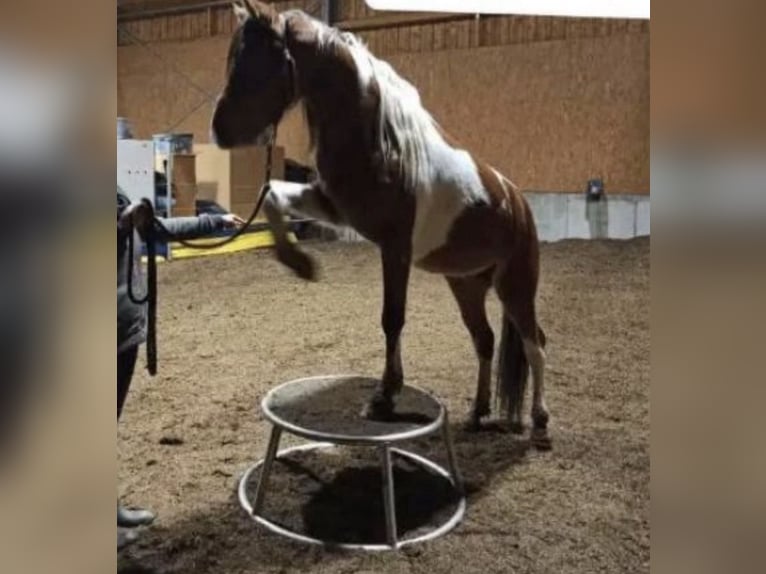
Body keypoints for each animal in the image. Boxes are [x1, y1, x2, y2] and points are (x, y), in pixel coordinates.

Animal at [212, 1, 550, 448]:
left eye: (257, 60)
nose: (219, 130)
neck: (382, 142)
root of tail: (517, 201)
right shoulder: (334, 207)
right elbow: (271, 196)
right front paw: (300, 264)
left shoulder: (395, 247)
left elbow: (392, 318)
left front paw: (384, 398)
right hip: (466, 284)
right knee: (485, 340)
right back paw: (477, 413)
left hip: (515, 285)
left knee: (534, 343)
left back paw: (540, 421)